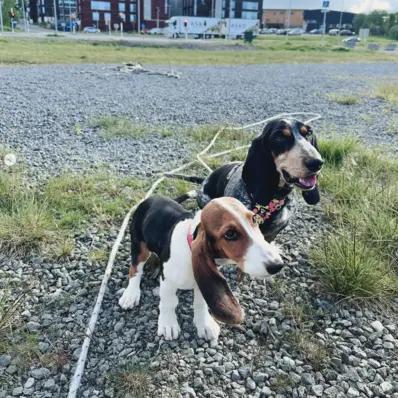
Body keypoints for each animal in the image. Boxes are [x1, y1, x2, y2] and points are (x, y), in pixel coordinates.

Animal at [118, 194, 282, 340]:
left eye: (254, 219)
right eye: (230, 234)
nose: (277, 265)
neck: (190, 243)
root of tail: (153, 197)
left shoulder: (201, 282)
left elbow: (201, 303)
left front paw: (205, 325)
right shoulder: (168, 282)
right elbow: (168, 302)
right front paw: (168, 324)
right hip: (139, 247)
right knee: (135, 270)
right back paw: (131, 294)